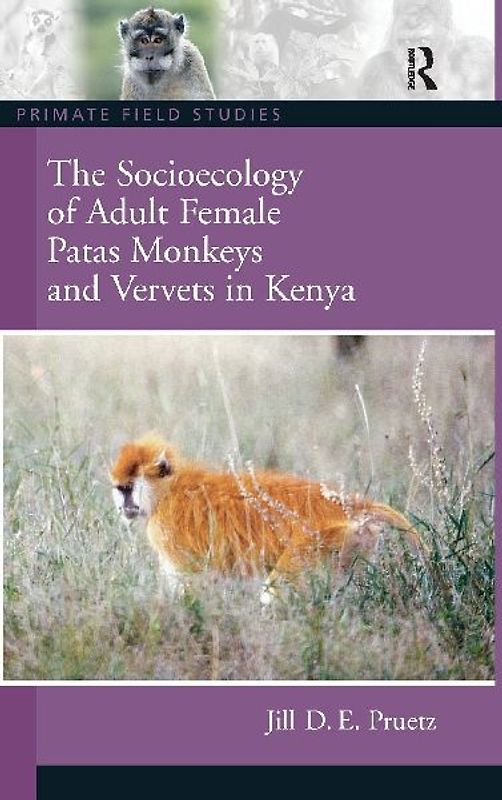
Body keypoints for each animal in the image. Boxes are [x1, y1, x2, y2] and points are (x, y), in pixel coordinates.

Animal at [110, 435, 425, 603]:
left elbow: (191, 587)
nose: (124, 505)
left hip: (324, 542)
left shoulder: (164, 530)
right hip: (353, 544)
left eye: (128, 489)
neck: (168, 490)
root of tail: (351, 503)